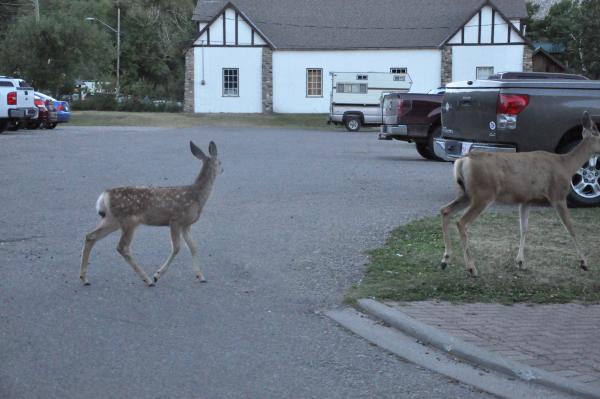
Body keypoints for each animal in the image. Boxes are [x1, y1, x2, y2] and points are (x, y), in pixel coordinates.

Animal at [78, 142, 221, 286]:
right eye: (220, 162)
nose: (223, 169)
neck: (197, 196)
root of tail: (105, 195)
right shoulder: (175, 220)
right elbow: (176, 248)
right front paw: (157, 275)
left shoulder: (186, 225)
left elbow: (193, 247)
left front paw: (200, 276)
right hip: (128, 221)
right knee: (122, 247)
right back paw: (147, 279)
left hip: (112, 220)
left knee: (90, 236)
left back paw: (84, 278)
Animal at [440, 111, 600, 276]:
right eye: (599, 134)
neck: (566, 165)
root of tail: (463, 160)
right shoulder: (558, 195)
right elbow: (570, 228)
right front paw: (584, 263)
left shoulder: (526, 200)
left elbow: (524, 228)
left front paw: (520, 262)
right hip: (483, 194)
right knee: (461, 222)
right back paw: (471, 267)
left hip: (465, 193)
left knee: (445, 210)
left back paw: (445, 260)